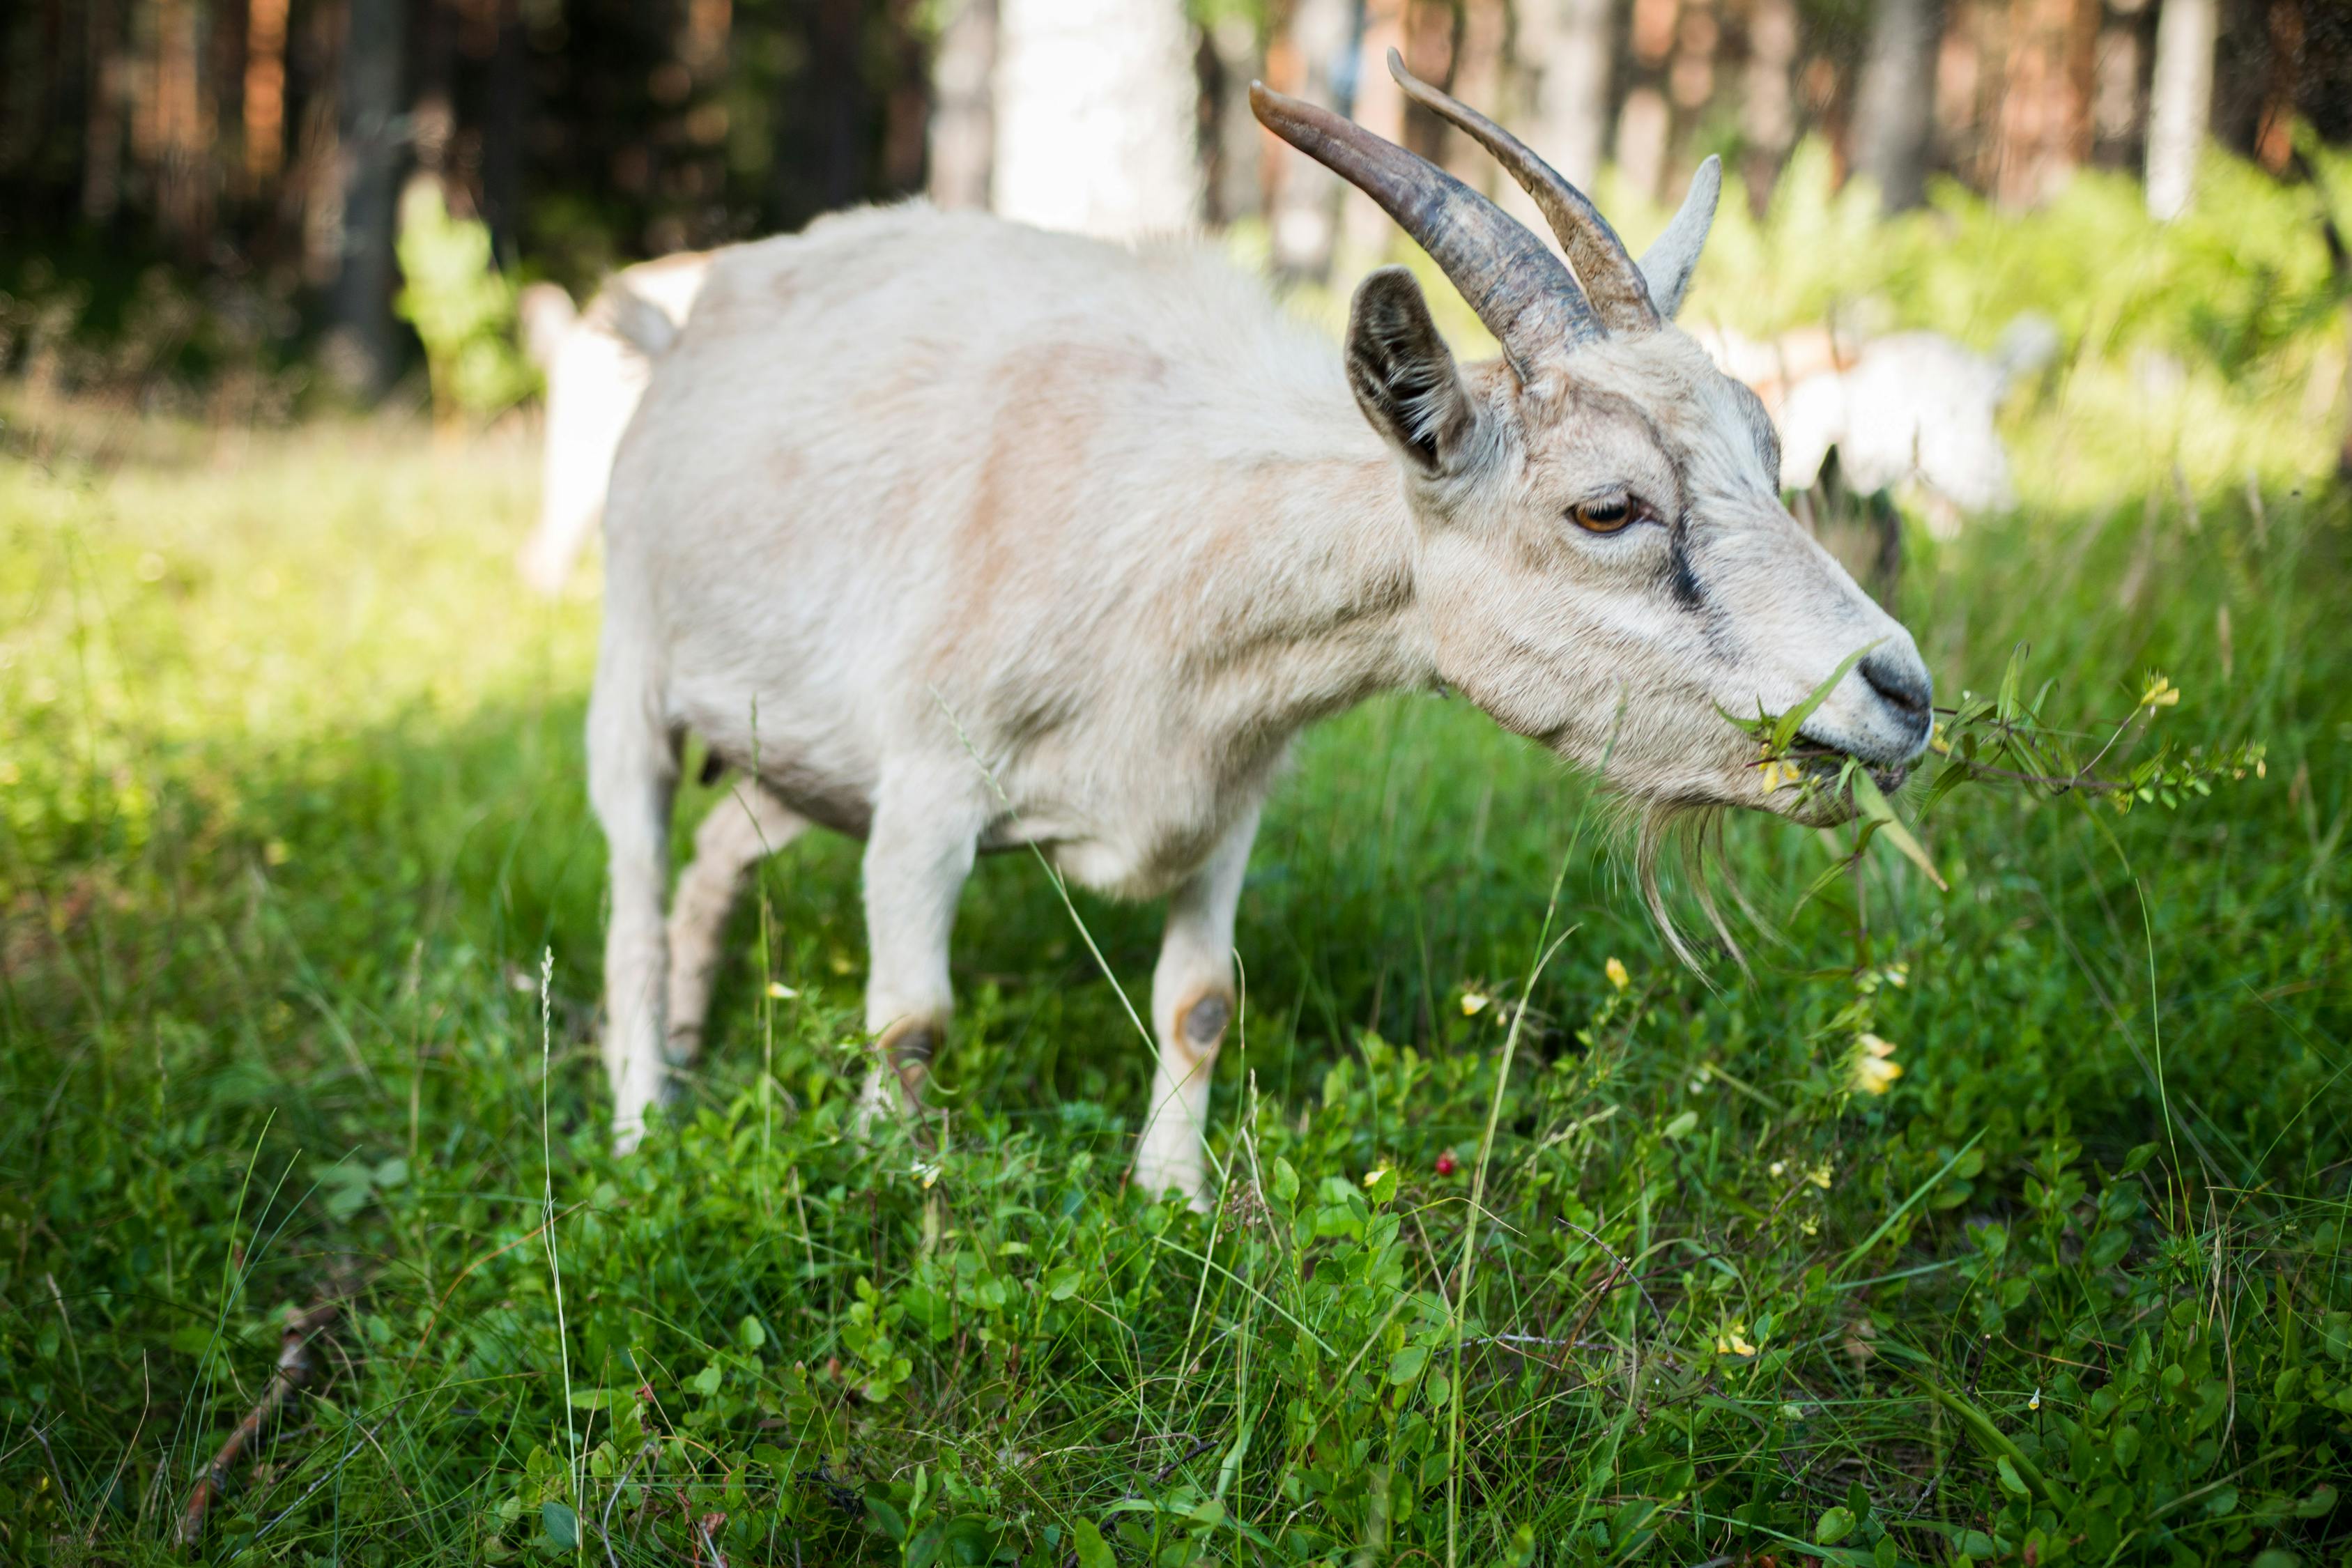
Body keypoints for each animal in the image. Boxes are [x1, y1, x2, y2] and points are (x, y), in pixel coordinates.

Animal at [587, 52, 1928, 1204]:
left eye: (1769, 453)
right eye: (1607, 507)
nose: (1902, 693)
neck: (1172, 540)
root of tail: (687, 327)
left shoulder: (1224, 799)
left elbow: (1199, 1001)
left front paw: (1172, 1201)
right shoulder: (926, 789)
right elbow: (912, 1023)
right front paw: (895, 1200)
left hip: (796, 753)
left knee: (718, 856)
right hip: (635, 669)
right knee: (636, 891)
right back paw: (644, 1123)